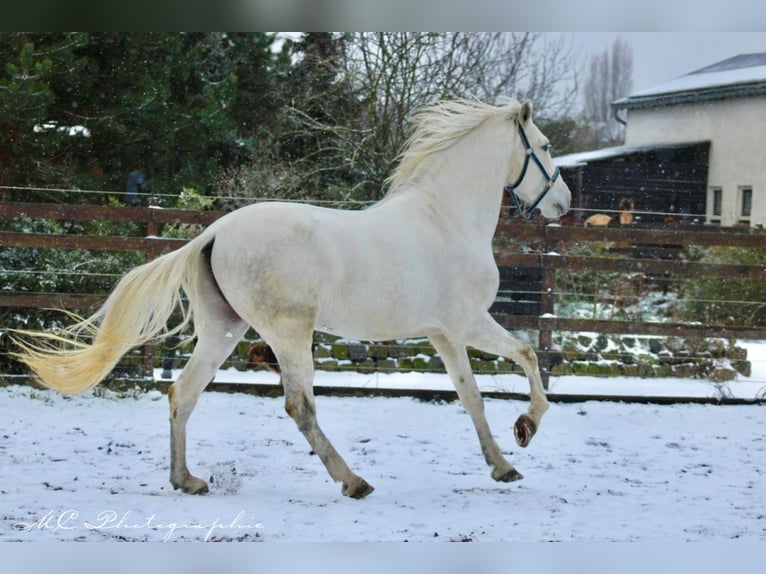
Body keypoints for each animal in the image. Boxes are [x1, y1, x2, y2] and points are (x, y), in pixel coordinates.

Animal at [15, 99, 572, 500]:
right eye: (545, 147)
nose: (564, 203)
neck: (445, 218)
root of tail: (214, 233)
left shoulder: (443, 334)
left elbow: (471, 396)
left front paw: (503, 466)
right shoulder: (468, 323)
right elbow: (527, 356)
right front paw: (525, 429)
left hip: (224, 329)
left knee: (183, 393)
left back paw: (187, 480)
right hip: (289, 332)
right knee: (299, 405)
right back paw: (353, 481)